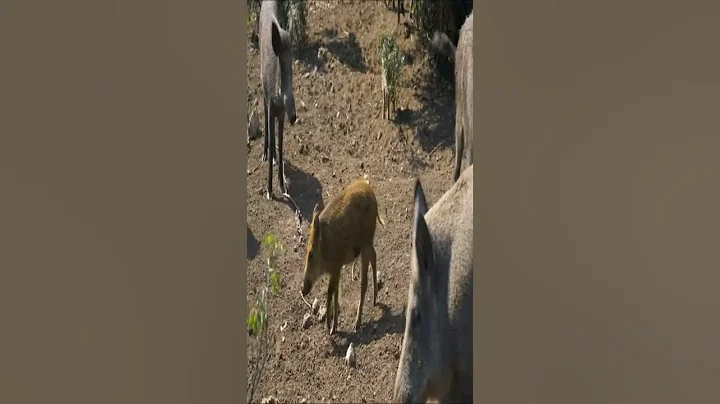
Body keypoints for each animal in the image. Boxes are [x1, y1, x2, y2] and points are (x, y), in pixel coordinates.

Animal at [301, 178, 385, 335]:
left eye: (311, 254)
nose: (303, 289)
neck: (325, 247)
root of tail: (369, 190)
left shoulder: (336, 267)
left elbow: (331, 292)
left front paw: (330, 327)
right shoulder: (336, 270)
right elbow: (334, 292)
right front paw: (332, 328)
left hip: (366, 243)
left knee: (364, 282)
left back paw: (356, 324)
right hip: (367, 243)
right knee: (375, 256)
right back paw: (374, 300)